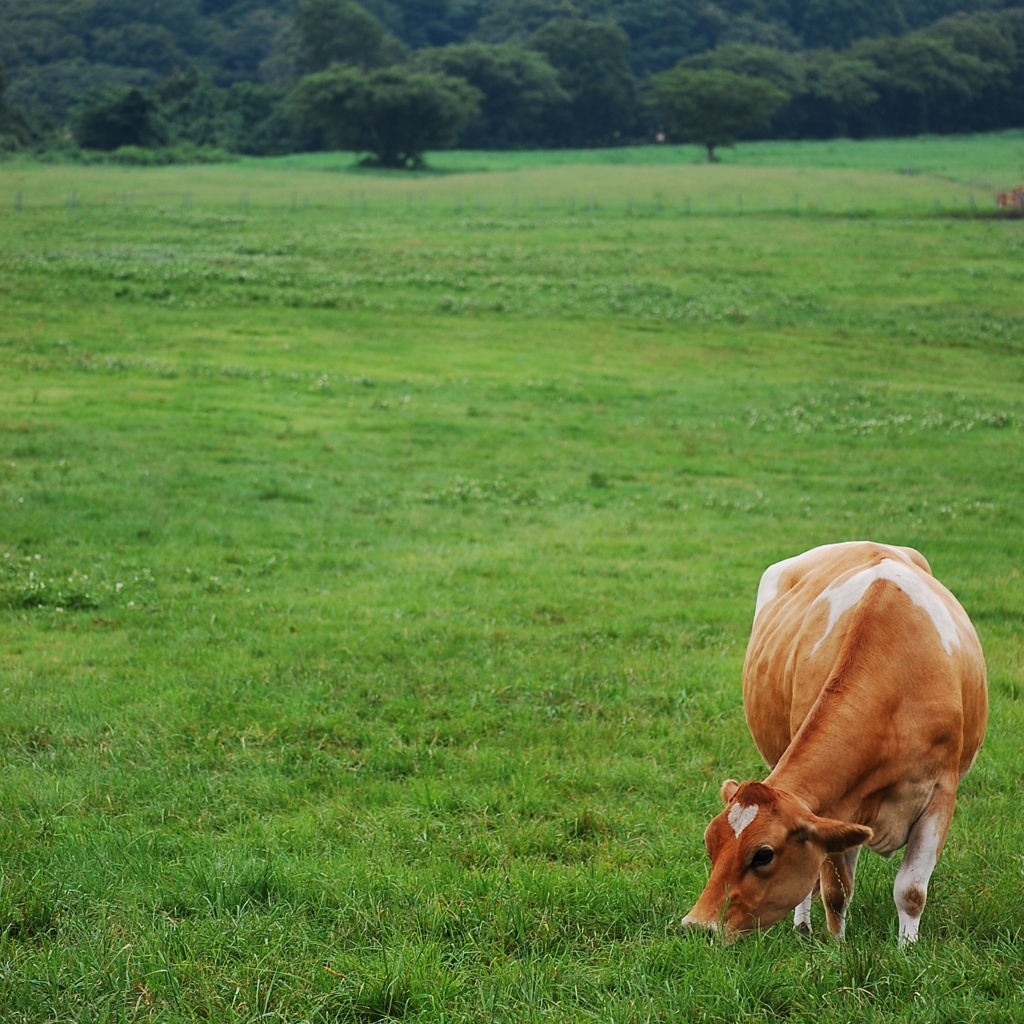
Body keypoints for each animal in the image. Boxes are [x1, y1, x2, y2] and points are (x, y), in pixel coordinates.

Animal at [684, 540, 987, 946]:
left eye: (763, 855)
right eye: (710, 843)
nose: (696, 926)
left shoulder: (941, 793)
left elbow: (910, 890)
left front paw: (907, 950)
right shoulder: (832, 810)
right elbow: (835, 890)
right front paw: (838, 948)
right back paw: (802, 925)